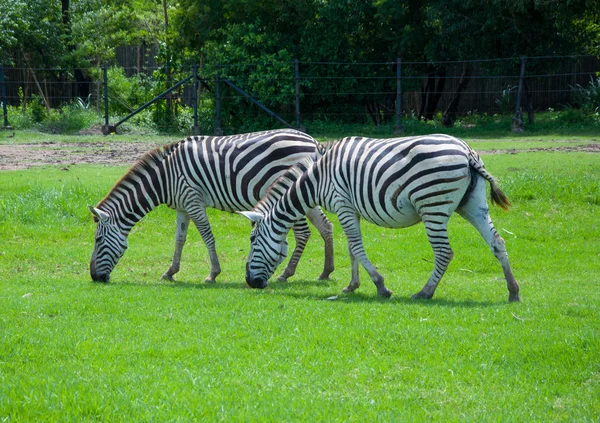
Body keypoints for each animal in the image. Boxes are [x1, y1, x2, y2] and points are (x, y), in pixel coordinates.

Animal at [89, 130, 336, 284]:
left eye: (98, 240)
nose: (94, 277)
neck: (164, 178)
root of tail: (312, 141)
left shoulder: (193, 200)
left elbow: (207, 236)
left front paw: (213, 274)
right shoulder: (182, 207)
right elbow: (179, 239)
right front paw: (170, 271)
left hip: (292, 193)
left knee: (303, 233)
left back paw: (286, 274)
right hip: (306, 193)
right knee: (326, 226)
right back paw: (326, 271)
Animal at [241, 134, 524, 304]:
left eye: (253, 240)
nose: (251, 283)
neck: (318, 177)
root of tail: (467, 152)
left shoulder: (343, 204)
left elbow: (356, 247)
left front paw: (380, 286)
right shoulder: (351, 209)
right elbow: (351, 248)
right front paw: (352, 286)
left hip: (432, 204)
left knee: (445, 252)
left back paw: (425, 292)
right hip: (472, 204)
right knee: (498, 242)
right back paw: (513, 292)